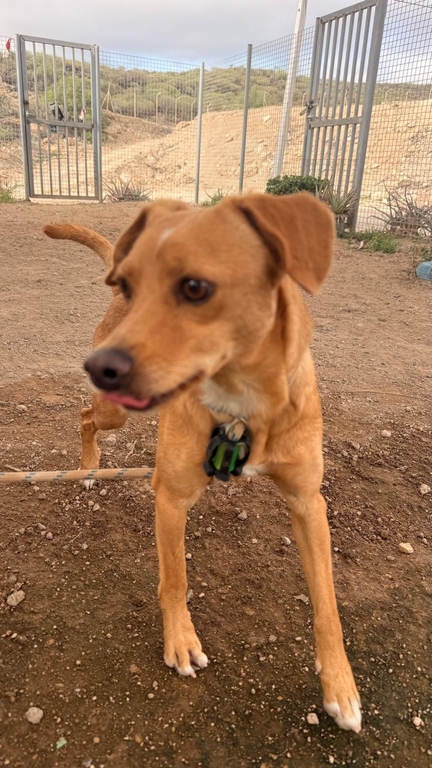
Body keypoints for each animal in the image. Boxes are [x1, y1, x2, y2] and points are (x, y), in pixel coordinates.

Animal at [44, 193, 361, 732]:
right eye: (130, 284)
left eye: (195, 287)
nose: (99, 367)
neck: (243, 409)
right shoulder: (171, 498)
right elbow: (175, 580)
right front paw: (181, 643)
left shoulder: (307, 503)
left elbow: (327, 604)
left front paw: (341, 686)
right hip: (114, 413)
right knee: (86, 416)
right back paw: (87, 467)